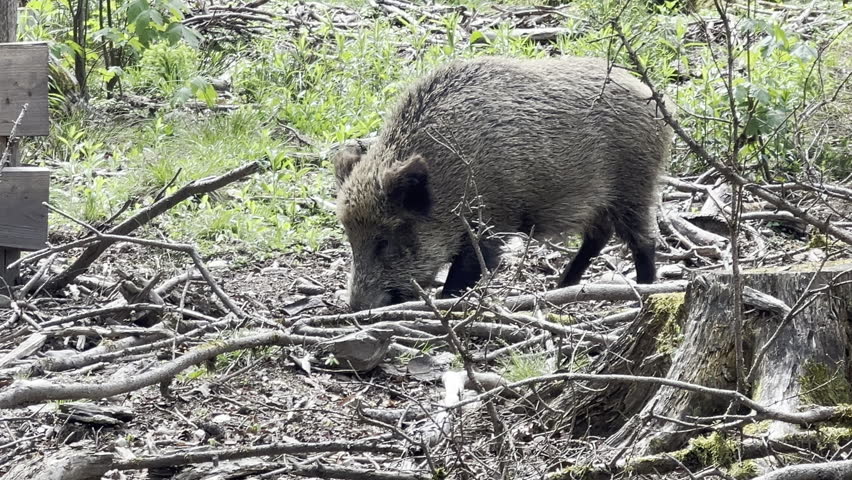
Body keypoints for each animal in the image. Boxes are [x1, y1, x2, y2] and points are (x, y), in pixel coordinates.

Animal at [332, 55, 673, 311]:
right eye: (351, 239)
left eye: (385, 240)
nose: (357, 308)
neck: (447, 179)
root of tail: (657, 101)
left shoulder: (493, 223)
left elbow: (465, 273)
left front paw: (448, 302)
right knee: (599, 236)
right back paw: (561, 288)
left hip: (634, 186)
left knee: (643, 240)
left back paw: (644, 291)